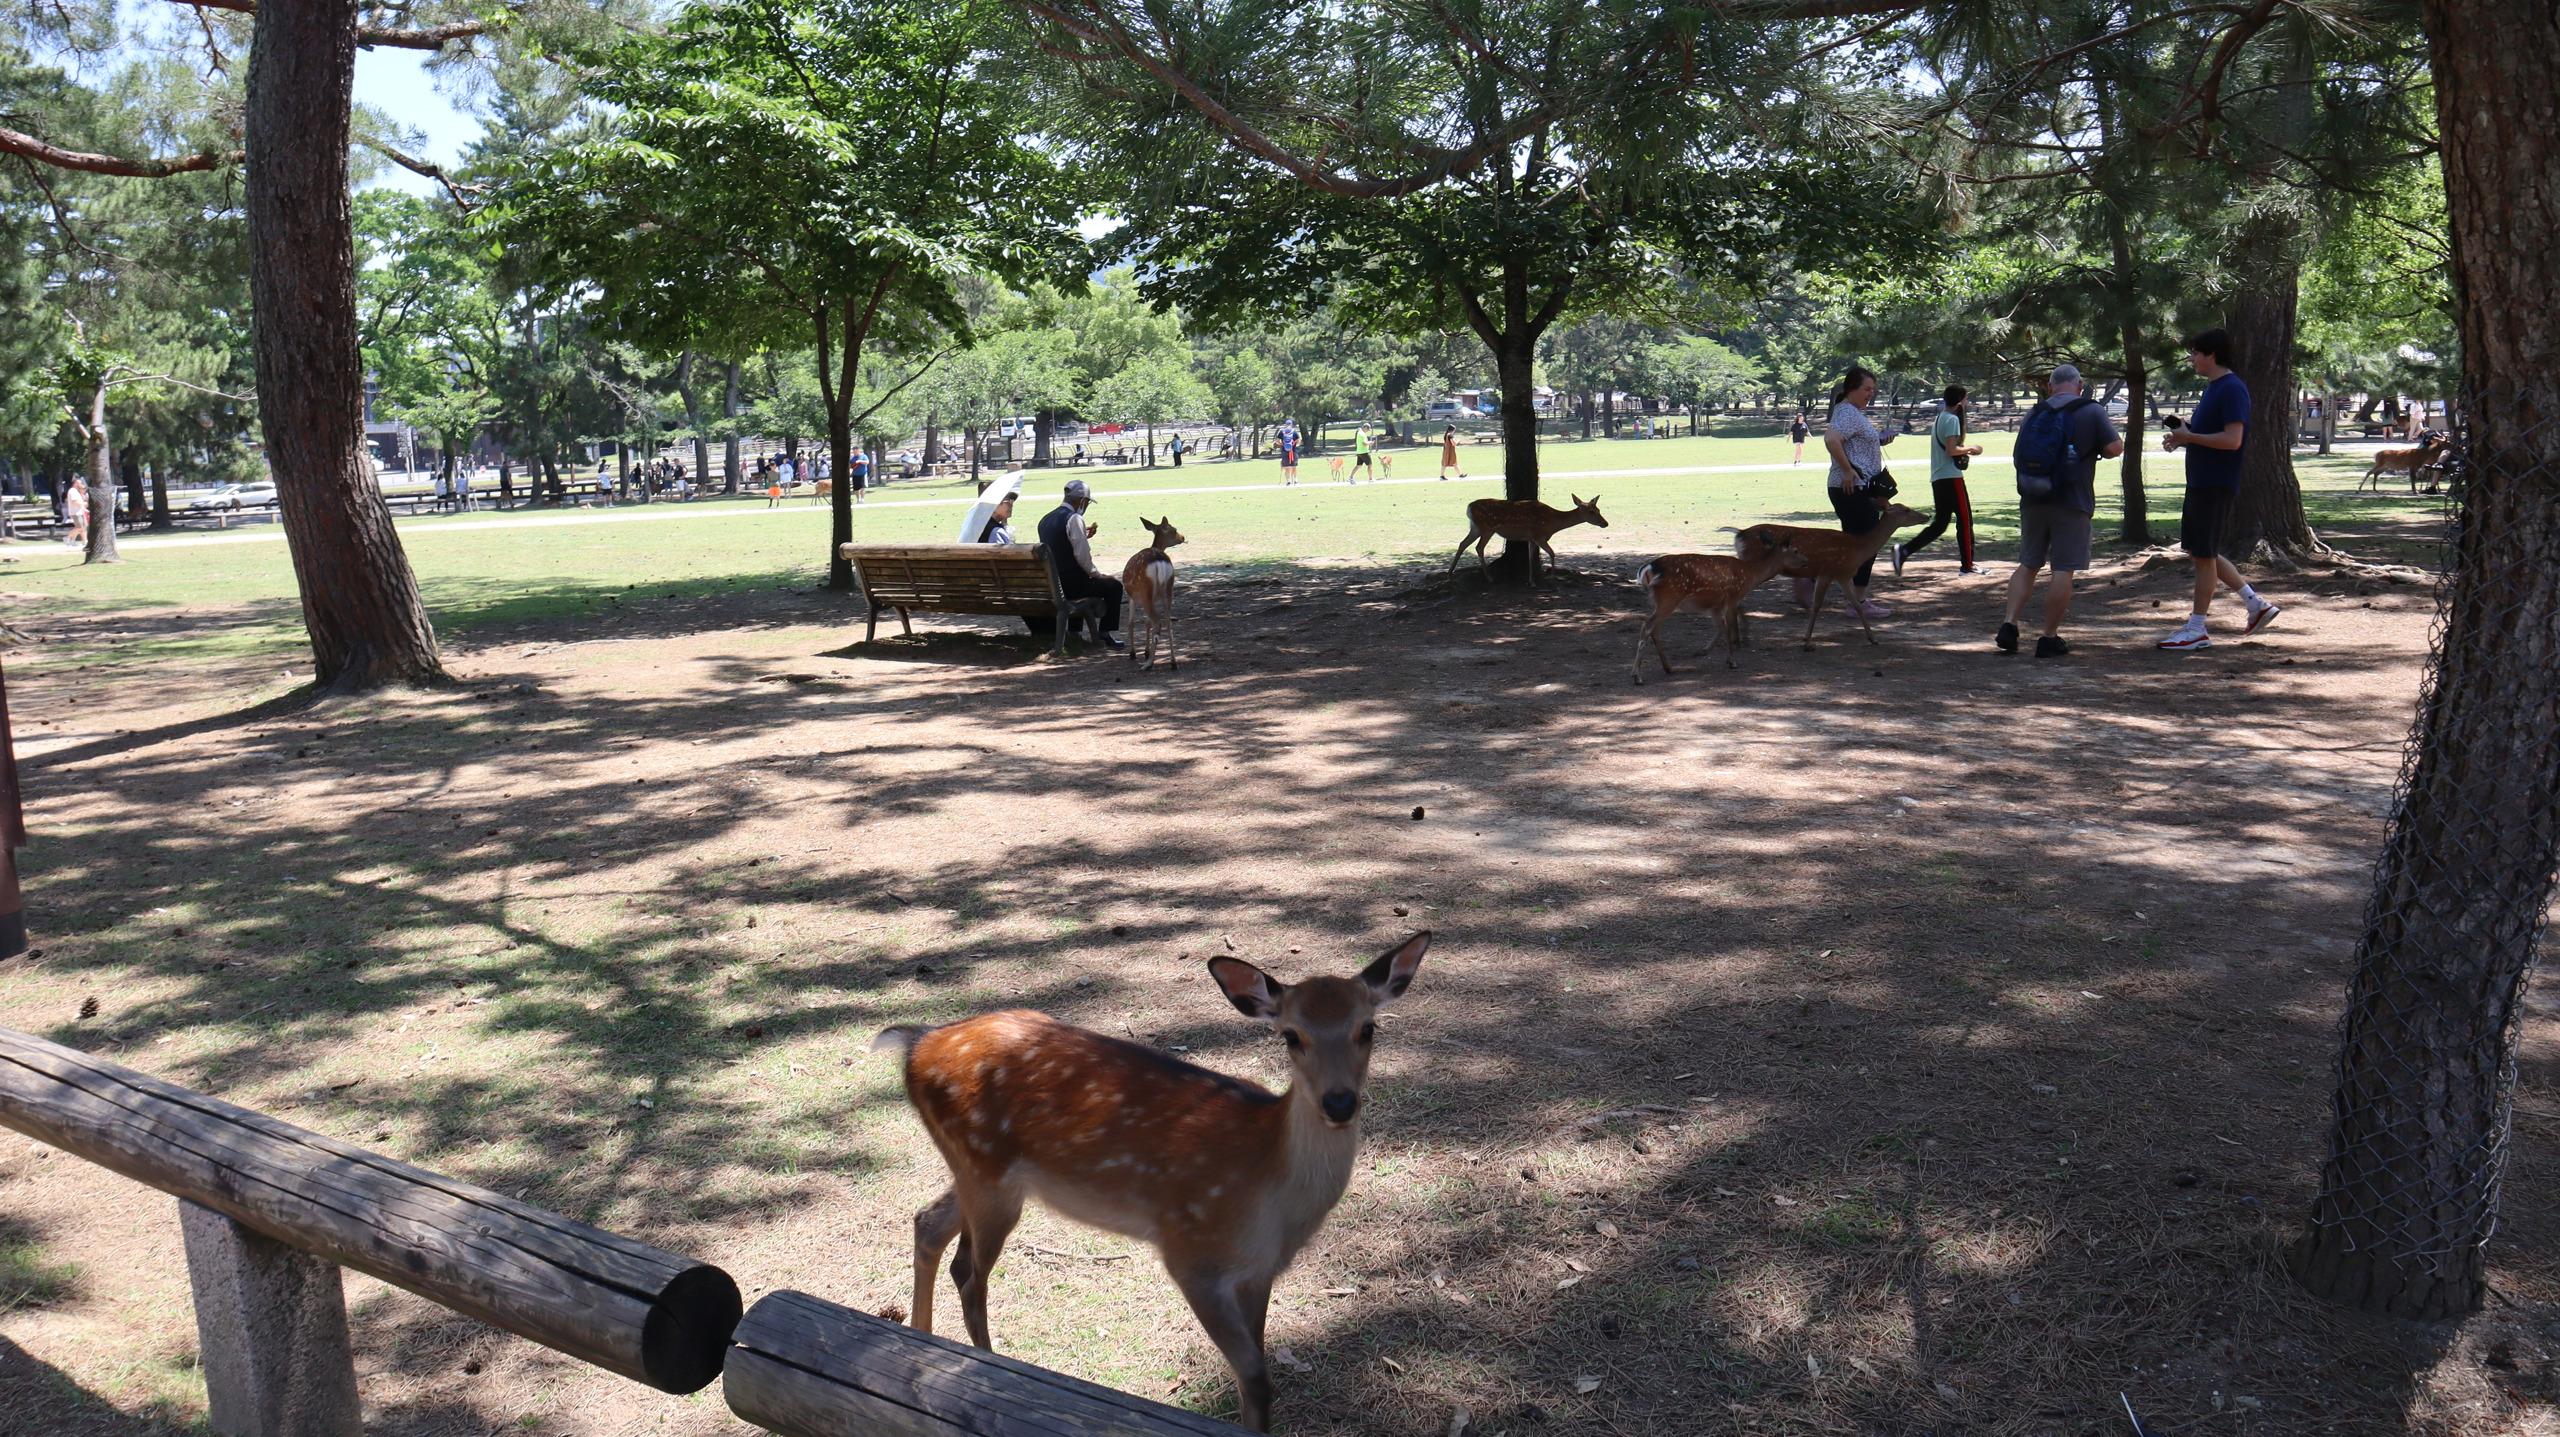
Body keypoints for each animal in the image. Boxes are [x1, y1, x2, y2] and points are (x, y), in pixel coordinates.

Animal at [875, 933, 1432, 1433]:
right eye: (1291, 1035)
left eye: (1368, 1028)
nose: (1339, 1102)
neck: (1268, 1194)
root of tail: (916, 1043)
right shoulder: (1192, 1257)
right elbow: (1256, 1379)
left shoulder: (1259, 1273)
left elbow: (1255, 1366)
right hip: (987, 1174)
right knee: (969, 1272)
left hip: (977, 1171)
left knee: (928, 1223)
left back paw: (922, 1341)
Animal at [1121, 515, 1186, 671]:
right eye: (1175, 529)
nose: (1183, 537)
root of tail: (1159, 562)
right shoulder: (1153, 598)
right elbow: (1146, 622)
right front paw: (1145, 651)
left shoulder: (1131, 596)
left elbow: (1131, 623)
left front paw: (1133, 653)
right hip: (1168, 589)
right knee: (1168, 623)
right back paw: (1173, 662)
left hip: (1145, 591)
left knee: (1158, 623)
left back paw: (1148, 664)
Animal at [1447, 494, 1608, 584]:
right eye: (1591, 511)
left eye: (1599, 510)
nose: (1605, 523)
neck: (1553, 523)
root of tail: (1469, 507)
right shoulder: (1538, 535)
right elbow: (1552, 553)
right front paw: (1552, 577)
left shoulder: (1531, 538)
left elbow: (1531, 557)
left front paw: (1532, 581)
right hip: (1487, 528)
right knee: (1478, 547)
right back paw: (1490, 578)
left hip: (1475, 527)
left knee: (1462, 543)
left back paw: (1450, 573)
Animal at [1630, 526, 1805, 683]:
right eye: (1796, 550)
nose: (1806, 561)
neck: (1750, 576)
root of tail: (1649, 568)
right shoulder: (1733, 596)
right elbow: (1728, 627)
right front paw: (1732, 661)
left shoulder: (1714, 605)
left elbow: (1720, 627)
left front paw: (1703, 651)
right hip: (1669, 597)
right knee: (1647, 626)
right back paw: (1637, 676)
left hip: (1656, 601)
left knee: (1655, 629)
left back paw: (1668, 667)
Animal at [1732, 503, 1929, 650]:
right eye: (1906, 509)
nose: (1926, 516)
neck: (1858, 549)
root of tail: (1739, 534)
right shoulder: (1827, 571)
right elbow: (1817, 605)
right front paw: (1806, 641)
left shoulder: (1844, 575)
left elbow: (1857, 605)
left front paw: (1873, 638)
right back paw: (1743, 637)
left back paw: (1739, 637)